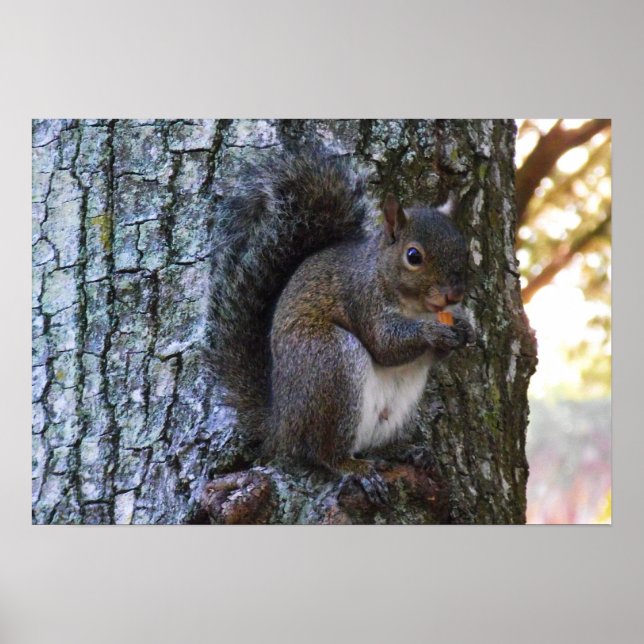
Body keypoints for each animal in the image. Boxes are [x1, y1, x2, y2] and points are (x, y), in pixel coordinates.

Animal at [208, 150, 473, 473]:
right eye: (413, 256)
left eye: (465, 250)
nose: (454, 295)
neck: (415, 308)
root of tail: (281, 428)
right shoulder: (361, 298)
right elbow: (385, 345)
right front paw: (432, 332)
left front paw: (465, 329)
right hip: (332, 362)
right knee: (323, 453)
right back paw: (352, 467)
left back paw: (404, 452)